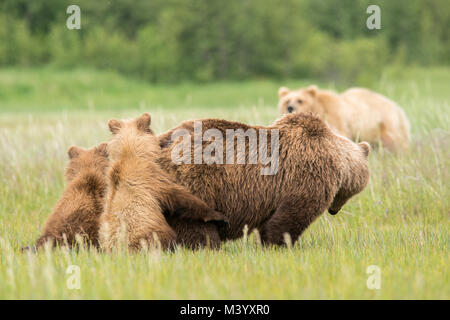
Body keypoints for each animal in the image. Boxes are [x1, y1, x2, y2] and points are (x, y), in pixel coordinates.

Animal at [157, 112, 370, 245]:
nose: (334, 211)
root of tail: (162, 140)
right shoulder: (308, 173)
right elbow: (293, 213)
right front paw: (279, 243)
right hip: (196, 181)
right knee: (197, 224)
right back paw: (206, 246)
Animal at [276, 85, 410, 152]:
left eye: (300, 100)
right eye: (287, 100)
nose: (290, 107)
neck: (319, 109)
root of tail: (397, 107)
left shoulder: (335, 119)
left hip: (386, 124)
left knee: (395, 142)